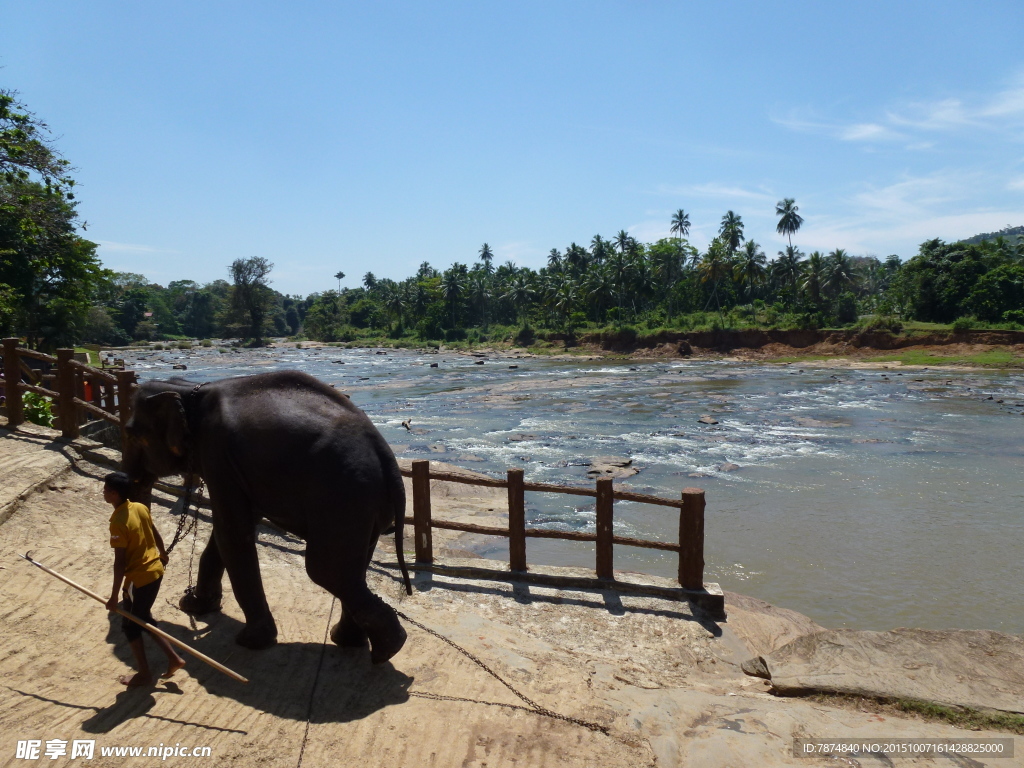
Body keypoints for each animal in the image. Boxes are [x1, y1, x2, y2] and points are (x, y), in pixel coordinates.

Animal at [119, 370, 407, 663]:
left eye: (130, 435)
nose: (118, 480)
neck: (189, 390)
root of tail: (388, 460)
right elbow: (232, 529)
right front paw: (195, 606)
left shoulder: (217, 454)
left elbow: (232, 532)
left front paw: (251, 641)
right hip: (363, 506)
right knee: (351, 567)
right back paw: (352, 641)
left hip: (344, 497)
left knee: (326, 570)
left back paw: (388, 648)